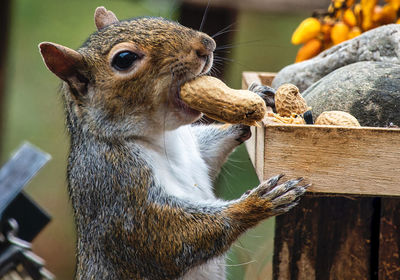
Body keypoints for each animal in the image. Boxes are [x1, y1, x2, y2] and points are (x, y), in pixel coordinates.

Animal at [38, 6, 310, 280]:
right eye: (124, 59)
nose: (208, 44)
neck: (162, 137)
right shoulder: (115, 187)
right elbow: (169, 237)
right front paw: (257, 202)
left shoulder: (194, 149)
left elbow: (210, 153)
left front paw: (256, 97)